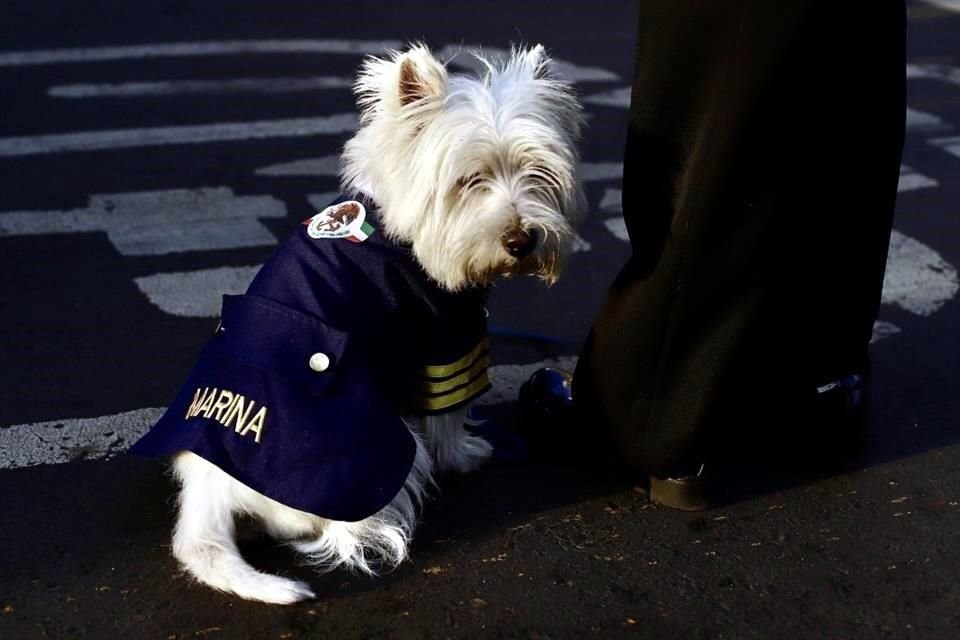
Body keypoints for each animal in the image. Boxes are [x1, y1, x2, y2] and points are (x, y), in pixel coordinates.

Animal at [130, 42, 580, 604]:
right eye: (468, 180)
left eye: (538, 173)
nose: (522, 240)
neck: (397, 232)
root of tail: (209, 486)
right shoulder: (447, 337)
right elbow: (449, 413)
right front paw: (464, 454)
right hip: (380, 456)